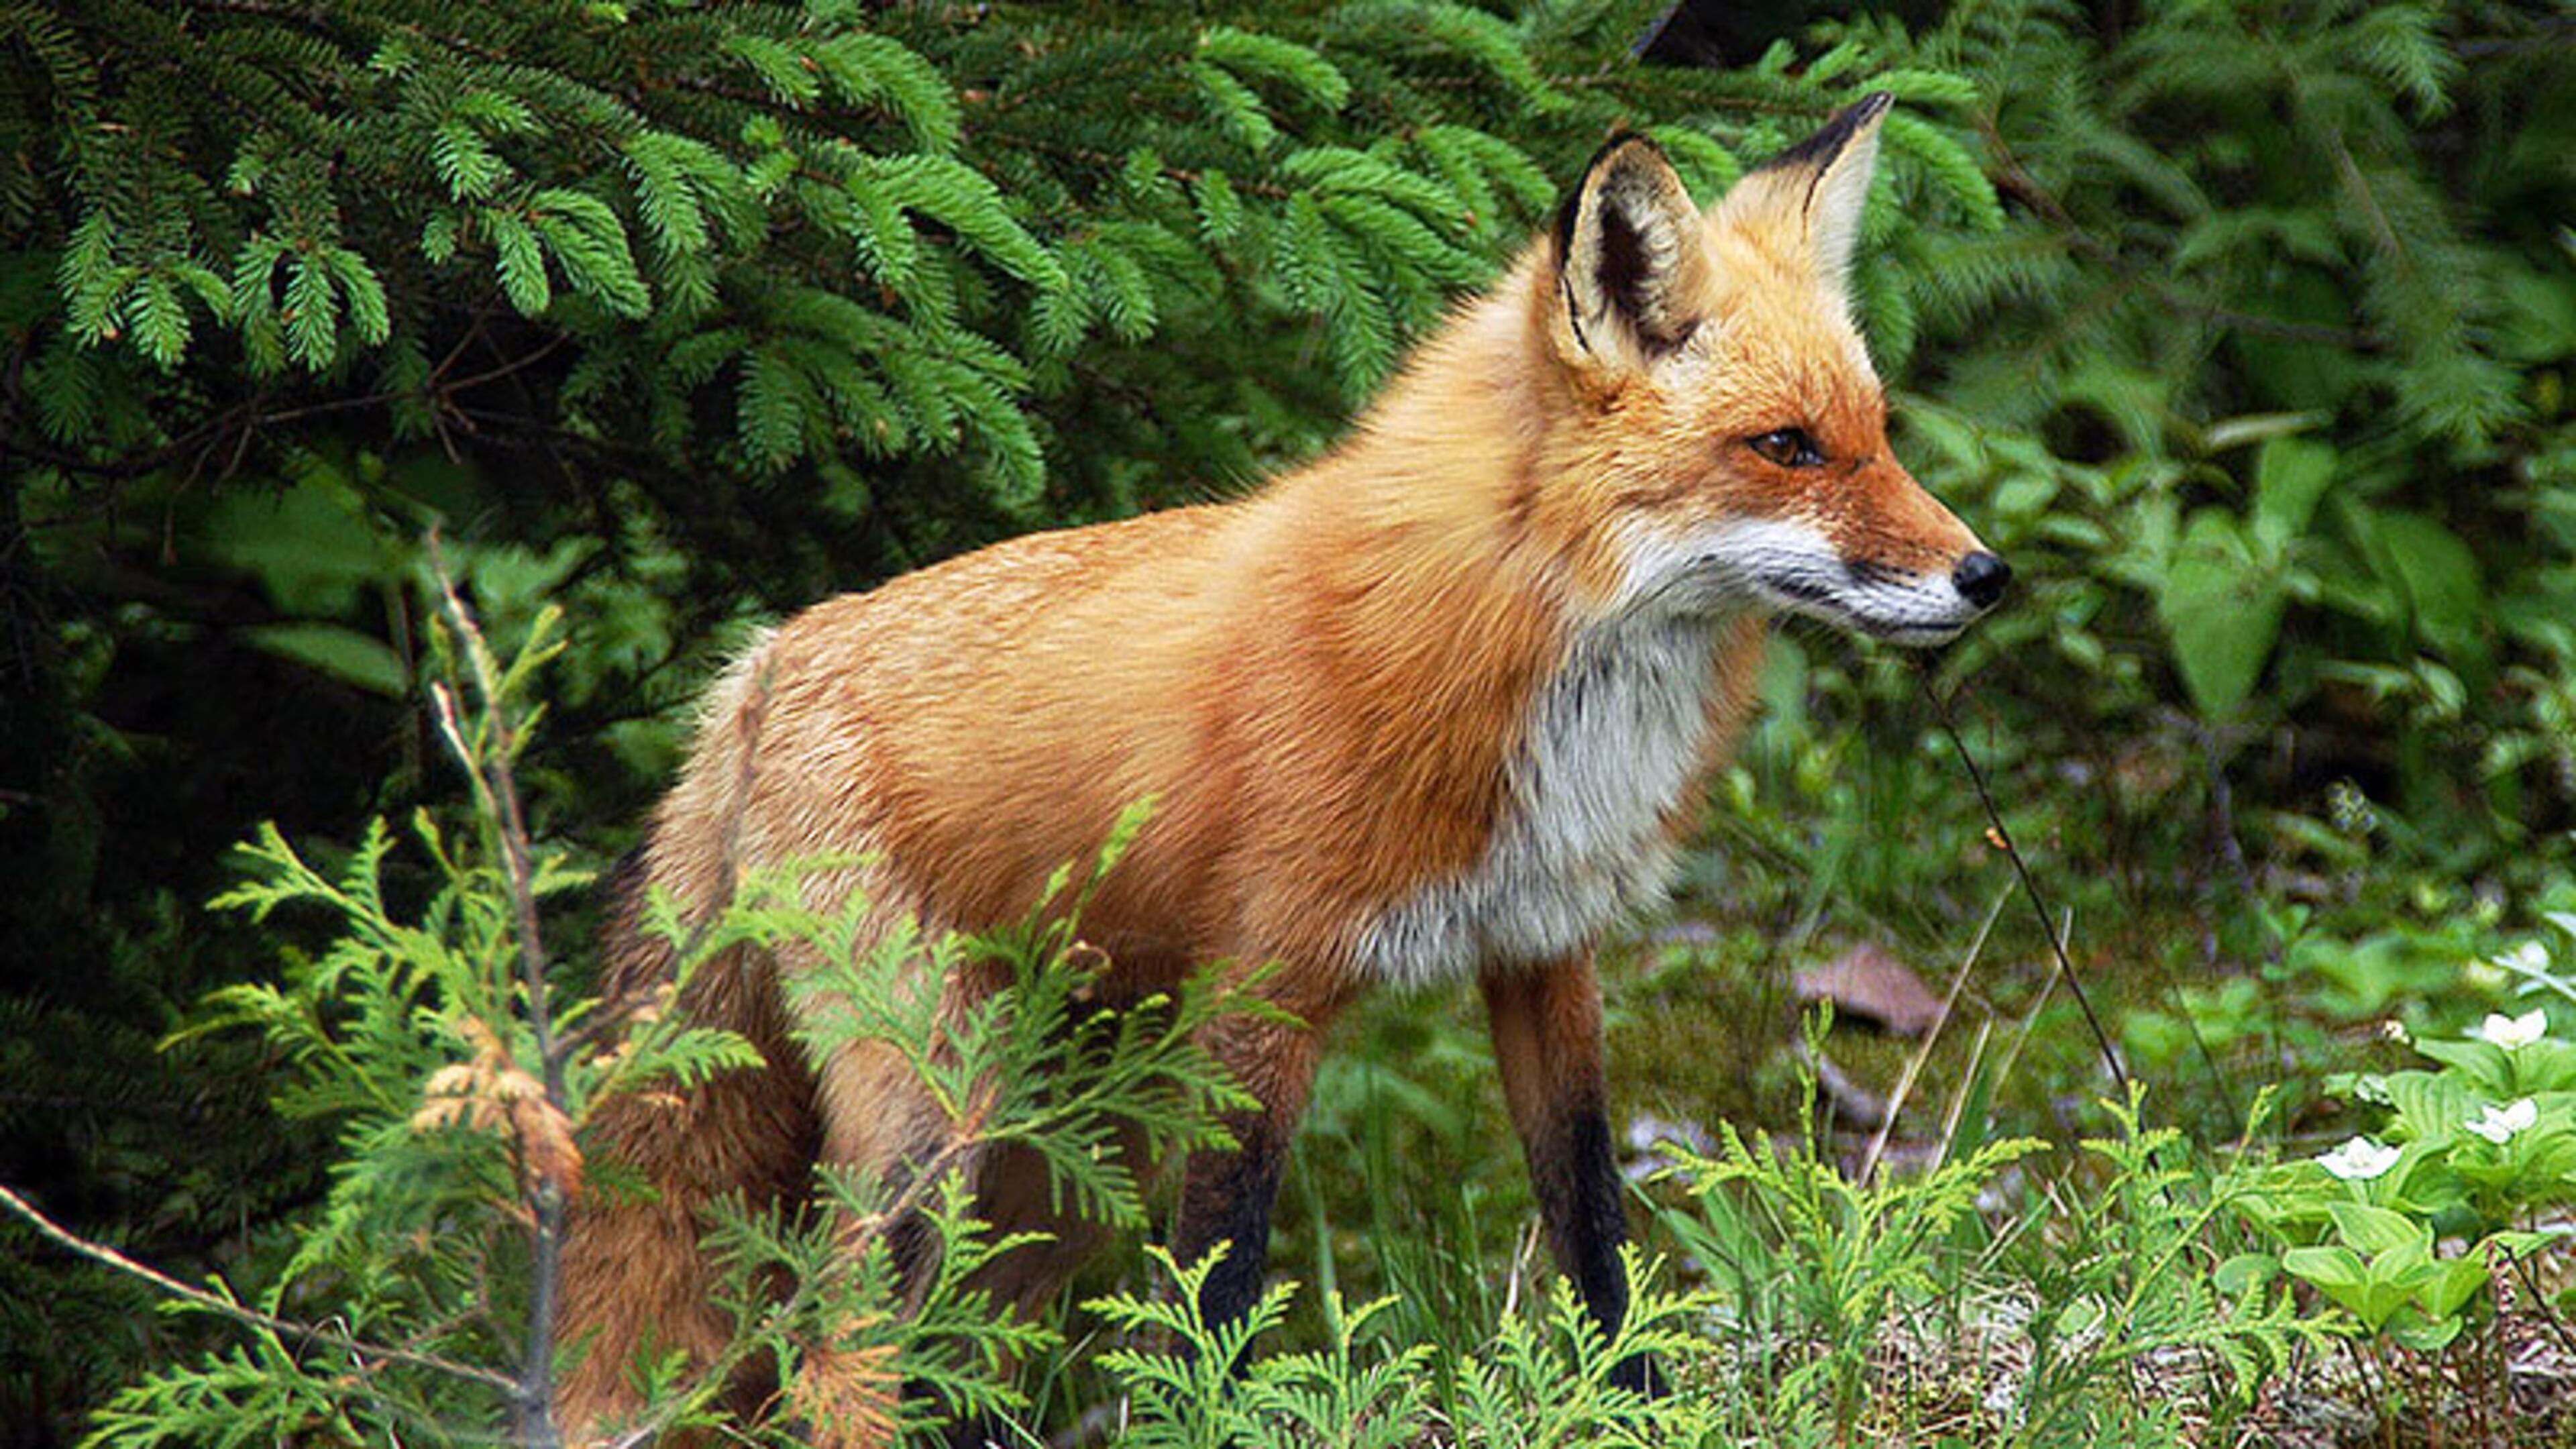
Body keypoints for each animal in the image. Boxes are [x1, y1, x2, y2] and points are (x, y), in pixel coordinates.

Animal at [558, 92, 2007, 1439]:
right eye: (1787, 448)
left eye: (1880, 433)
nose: (1985, 576)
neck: (1522, 640)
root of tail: (761, 664)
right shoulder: (1268, 985)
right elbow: (1221, 1282)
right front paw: (1208, 1417)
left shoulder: (1544, 947)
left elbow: (1593, 1226)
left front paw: (1636, 1407)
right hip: (934, 1106)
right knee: (833, 1361)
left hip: (1055, 1149)